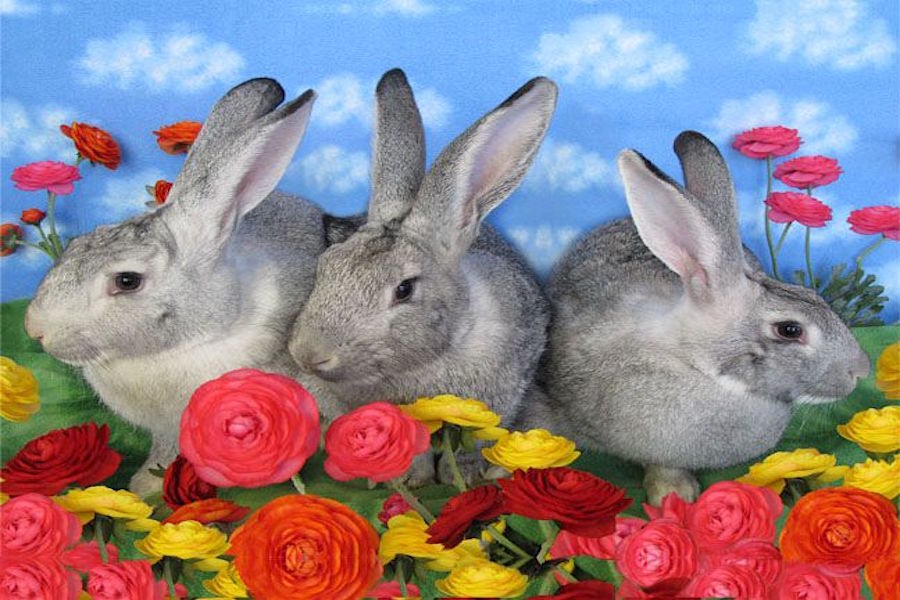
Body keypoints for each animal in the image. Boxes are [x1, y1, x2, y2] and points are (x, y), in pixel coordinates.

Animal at [24, 77, 362, 496]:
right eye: (75, 244)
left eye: (127, 281)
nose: (34, 329)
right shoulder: (166, 430)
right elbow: (162, 456)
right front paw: (143, 487)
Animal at [289, 69, 556, 483]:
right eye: (325, 266)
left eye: (404, 289)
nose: (308, 355)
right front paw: (408, 478)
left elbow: (471, 446)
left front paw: (462, 476)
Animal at [519, 131, 871, 505]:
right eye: (789, 330)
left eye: (817, 297)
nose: (860, 369)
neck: (694, 359)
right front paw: (672, 495)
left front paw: (676, 494)